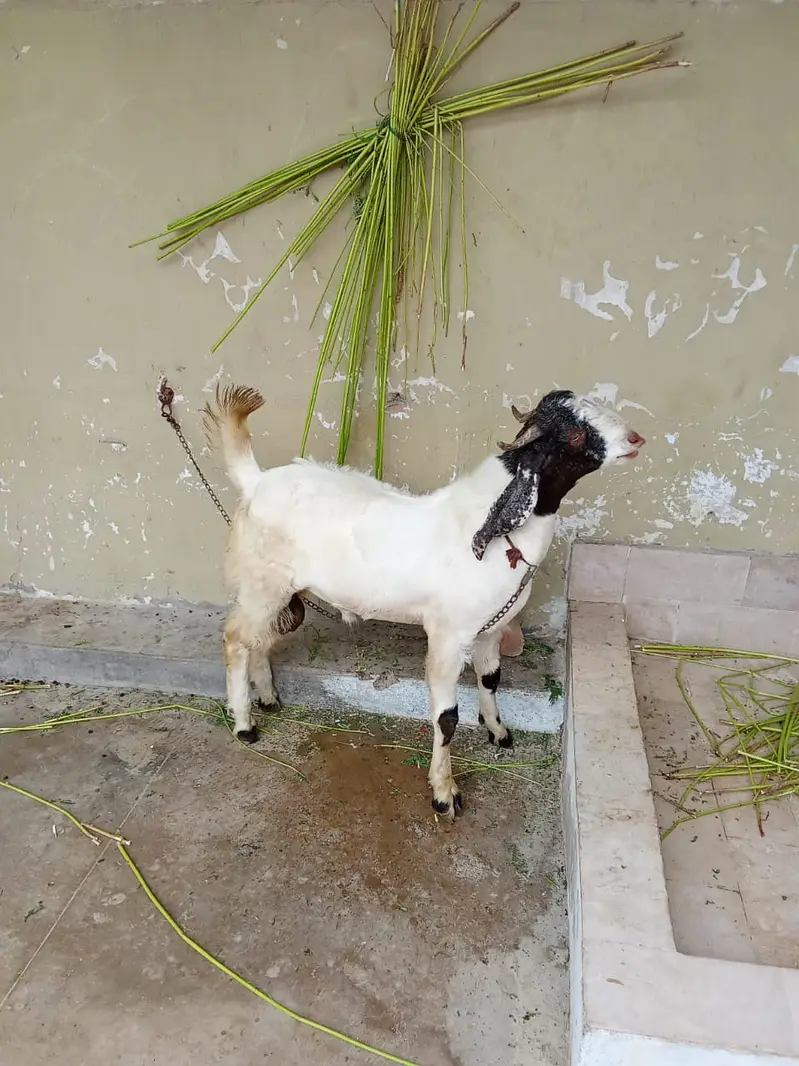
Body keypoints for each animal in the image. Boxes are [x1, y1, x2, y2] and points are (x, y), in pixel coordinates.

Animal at [204, 385, 646, 820]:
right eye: (575, 433)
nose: (636, 439)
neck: (488, 535)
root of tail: (256, 480)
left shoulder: (491, 630)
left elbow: (491, 679)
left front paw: (498, 731)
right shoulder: (449, 635)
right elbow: (447, 718)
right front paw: (445, 794)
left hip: (275, 592)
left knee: (258, 639)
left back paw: (267, 697)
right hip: (263, 582)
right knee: (235, 639)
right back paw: (244, 725)